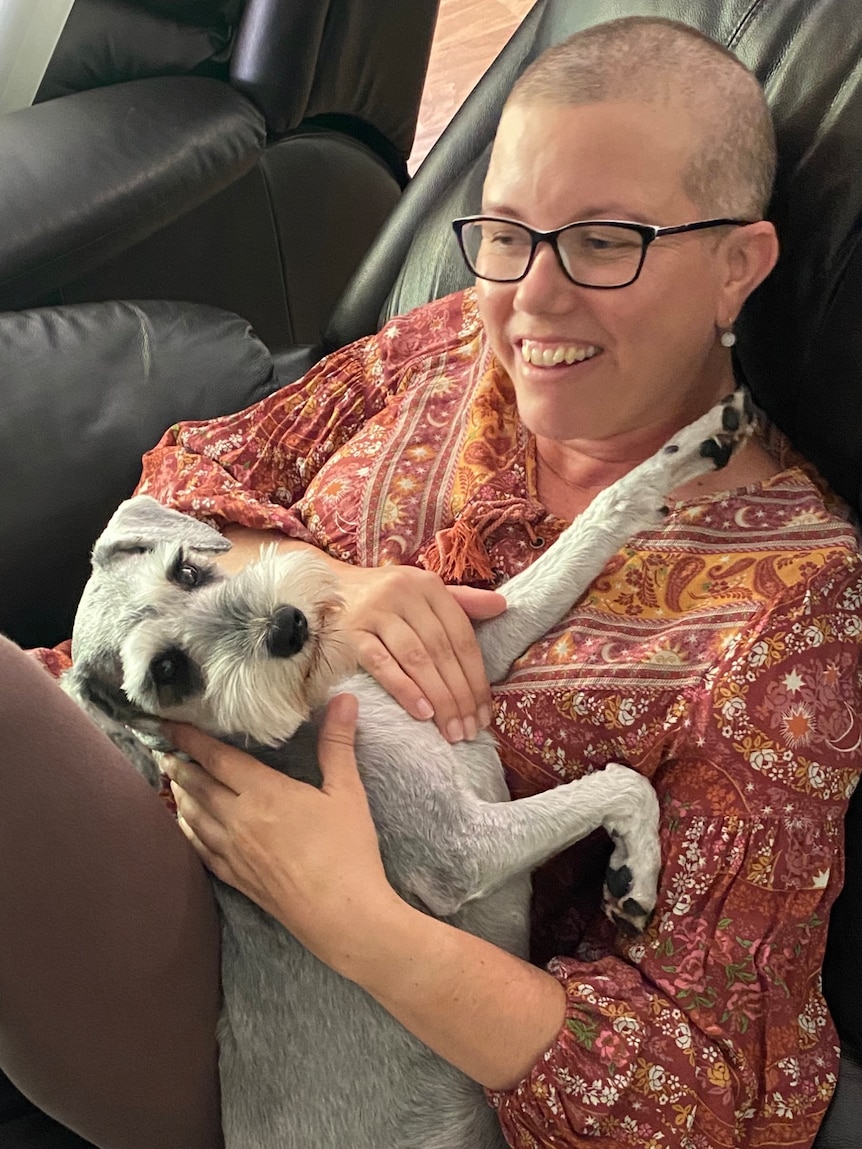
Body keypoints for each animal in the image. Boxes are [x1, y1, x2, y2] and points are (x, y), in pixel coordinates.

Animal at [64, 390, 753, 1144]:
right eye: (166, 670)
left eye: (186, 569)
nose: (287, 626)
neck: (321, 699)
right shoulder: (459, 848)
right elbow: (623, 782)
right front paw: (638, 869)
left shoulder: (472, 654)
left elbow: (601, 513)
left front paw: (697, 441)